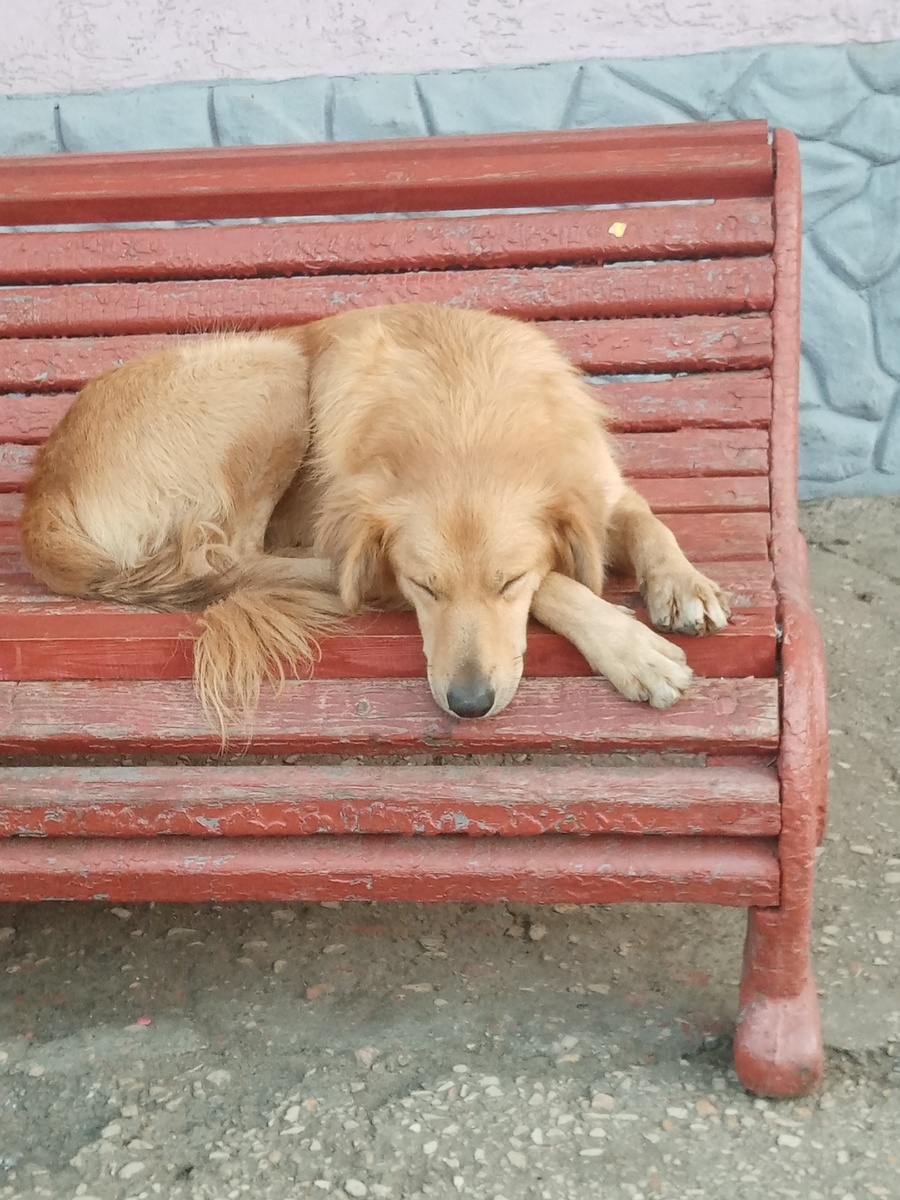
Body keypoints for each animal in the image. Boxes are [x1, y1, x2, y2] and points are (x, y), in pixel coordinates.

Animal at [21, 300, 734, 729]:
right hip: (275, 372)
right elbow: (560, 581)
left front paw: (683, 583)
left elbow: (646, 519)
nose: (469, 705)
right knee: (230, 555)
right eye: (425, 587)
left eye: (507, 582)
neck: (466, 408)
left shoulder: (597, 482)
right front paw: (630, 647)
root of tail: (42, 487)